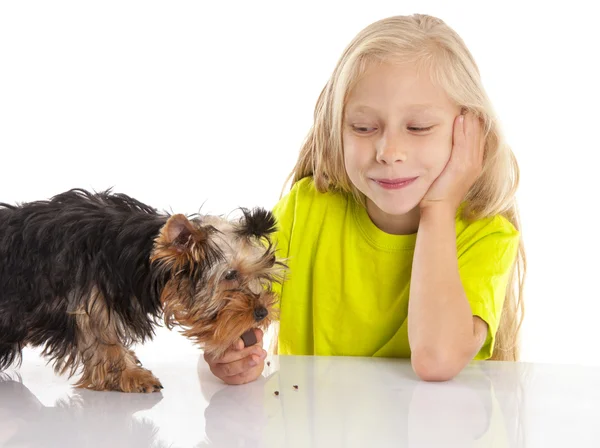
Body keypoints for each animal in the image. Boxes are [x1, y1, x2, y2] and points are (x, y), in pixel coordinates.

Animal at [0, 189, 284, 392]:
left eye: (260, 276)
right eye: (230, 275)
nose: (262, 312)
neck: (134, 255)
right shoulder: (87, 294)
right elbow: (101, 337)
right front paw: (131, 375)